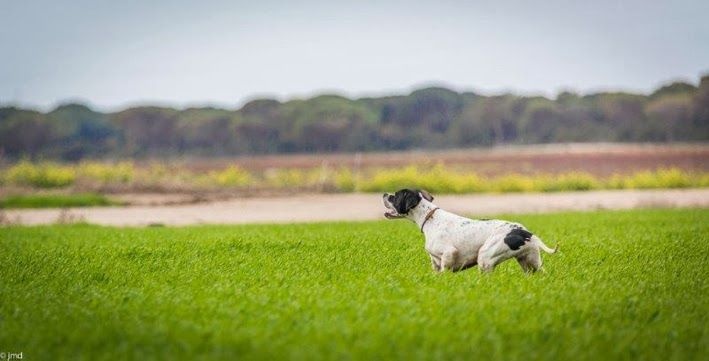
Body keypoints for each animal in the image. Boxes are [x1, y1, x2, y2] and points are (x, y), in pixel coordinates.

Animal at [382, 190, 560, 272]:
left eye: (395, 196)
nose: (384, 194)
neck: (429, 218)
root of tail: (525, 232)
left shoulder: (449, 254)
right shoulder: (435, 263)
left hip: (485, 257)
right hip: (531, 263)